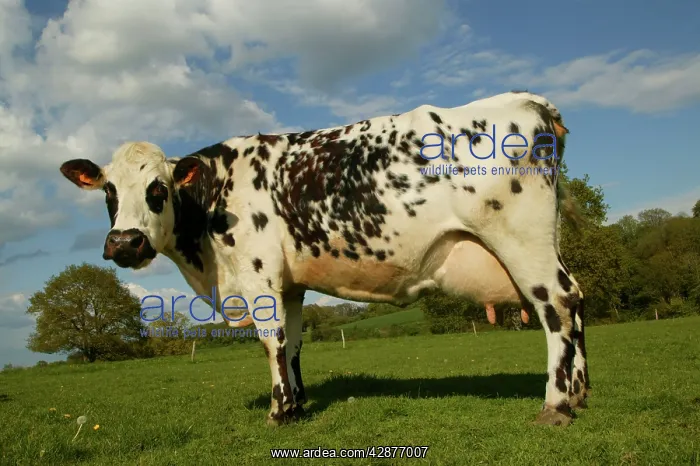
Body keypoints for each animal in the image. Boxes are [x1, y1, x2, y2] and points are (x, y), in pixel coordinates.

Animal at [59, 90, 589, 427]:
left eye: (158, 189)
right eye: (108, 191)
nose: (124, 243)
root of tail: (526, 101)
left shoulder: (259, 277)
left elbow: (270, 341)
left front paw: (278, 413)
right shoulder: (291, 285)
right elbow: (293, 344)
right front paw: (298, 403)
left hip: (522, 239)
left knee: (558, 305)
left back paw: (556, 406)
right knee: (576, 302)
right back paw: (580, 393)